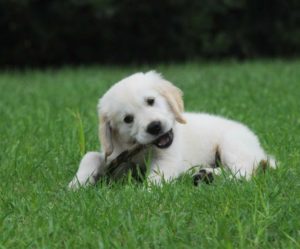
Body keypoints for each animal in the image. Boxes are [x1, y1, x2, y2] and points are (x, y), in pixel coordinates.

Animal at [69, 72, 276, 189]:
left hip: (232, 144)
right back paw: (205, 175)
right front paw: (77, 184)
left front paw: (146, 193)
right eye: (128, 119)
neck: (142, 149)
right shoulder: (115, 157)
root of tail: (260, 151)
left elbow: (156, 176)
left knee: (244, 172)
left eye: (151, 101)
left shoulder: (168, 159)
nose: (154, 126)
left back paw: (209, 177)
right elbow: (90, 156)